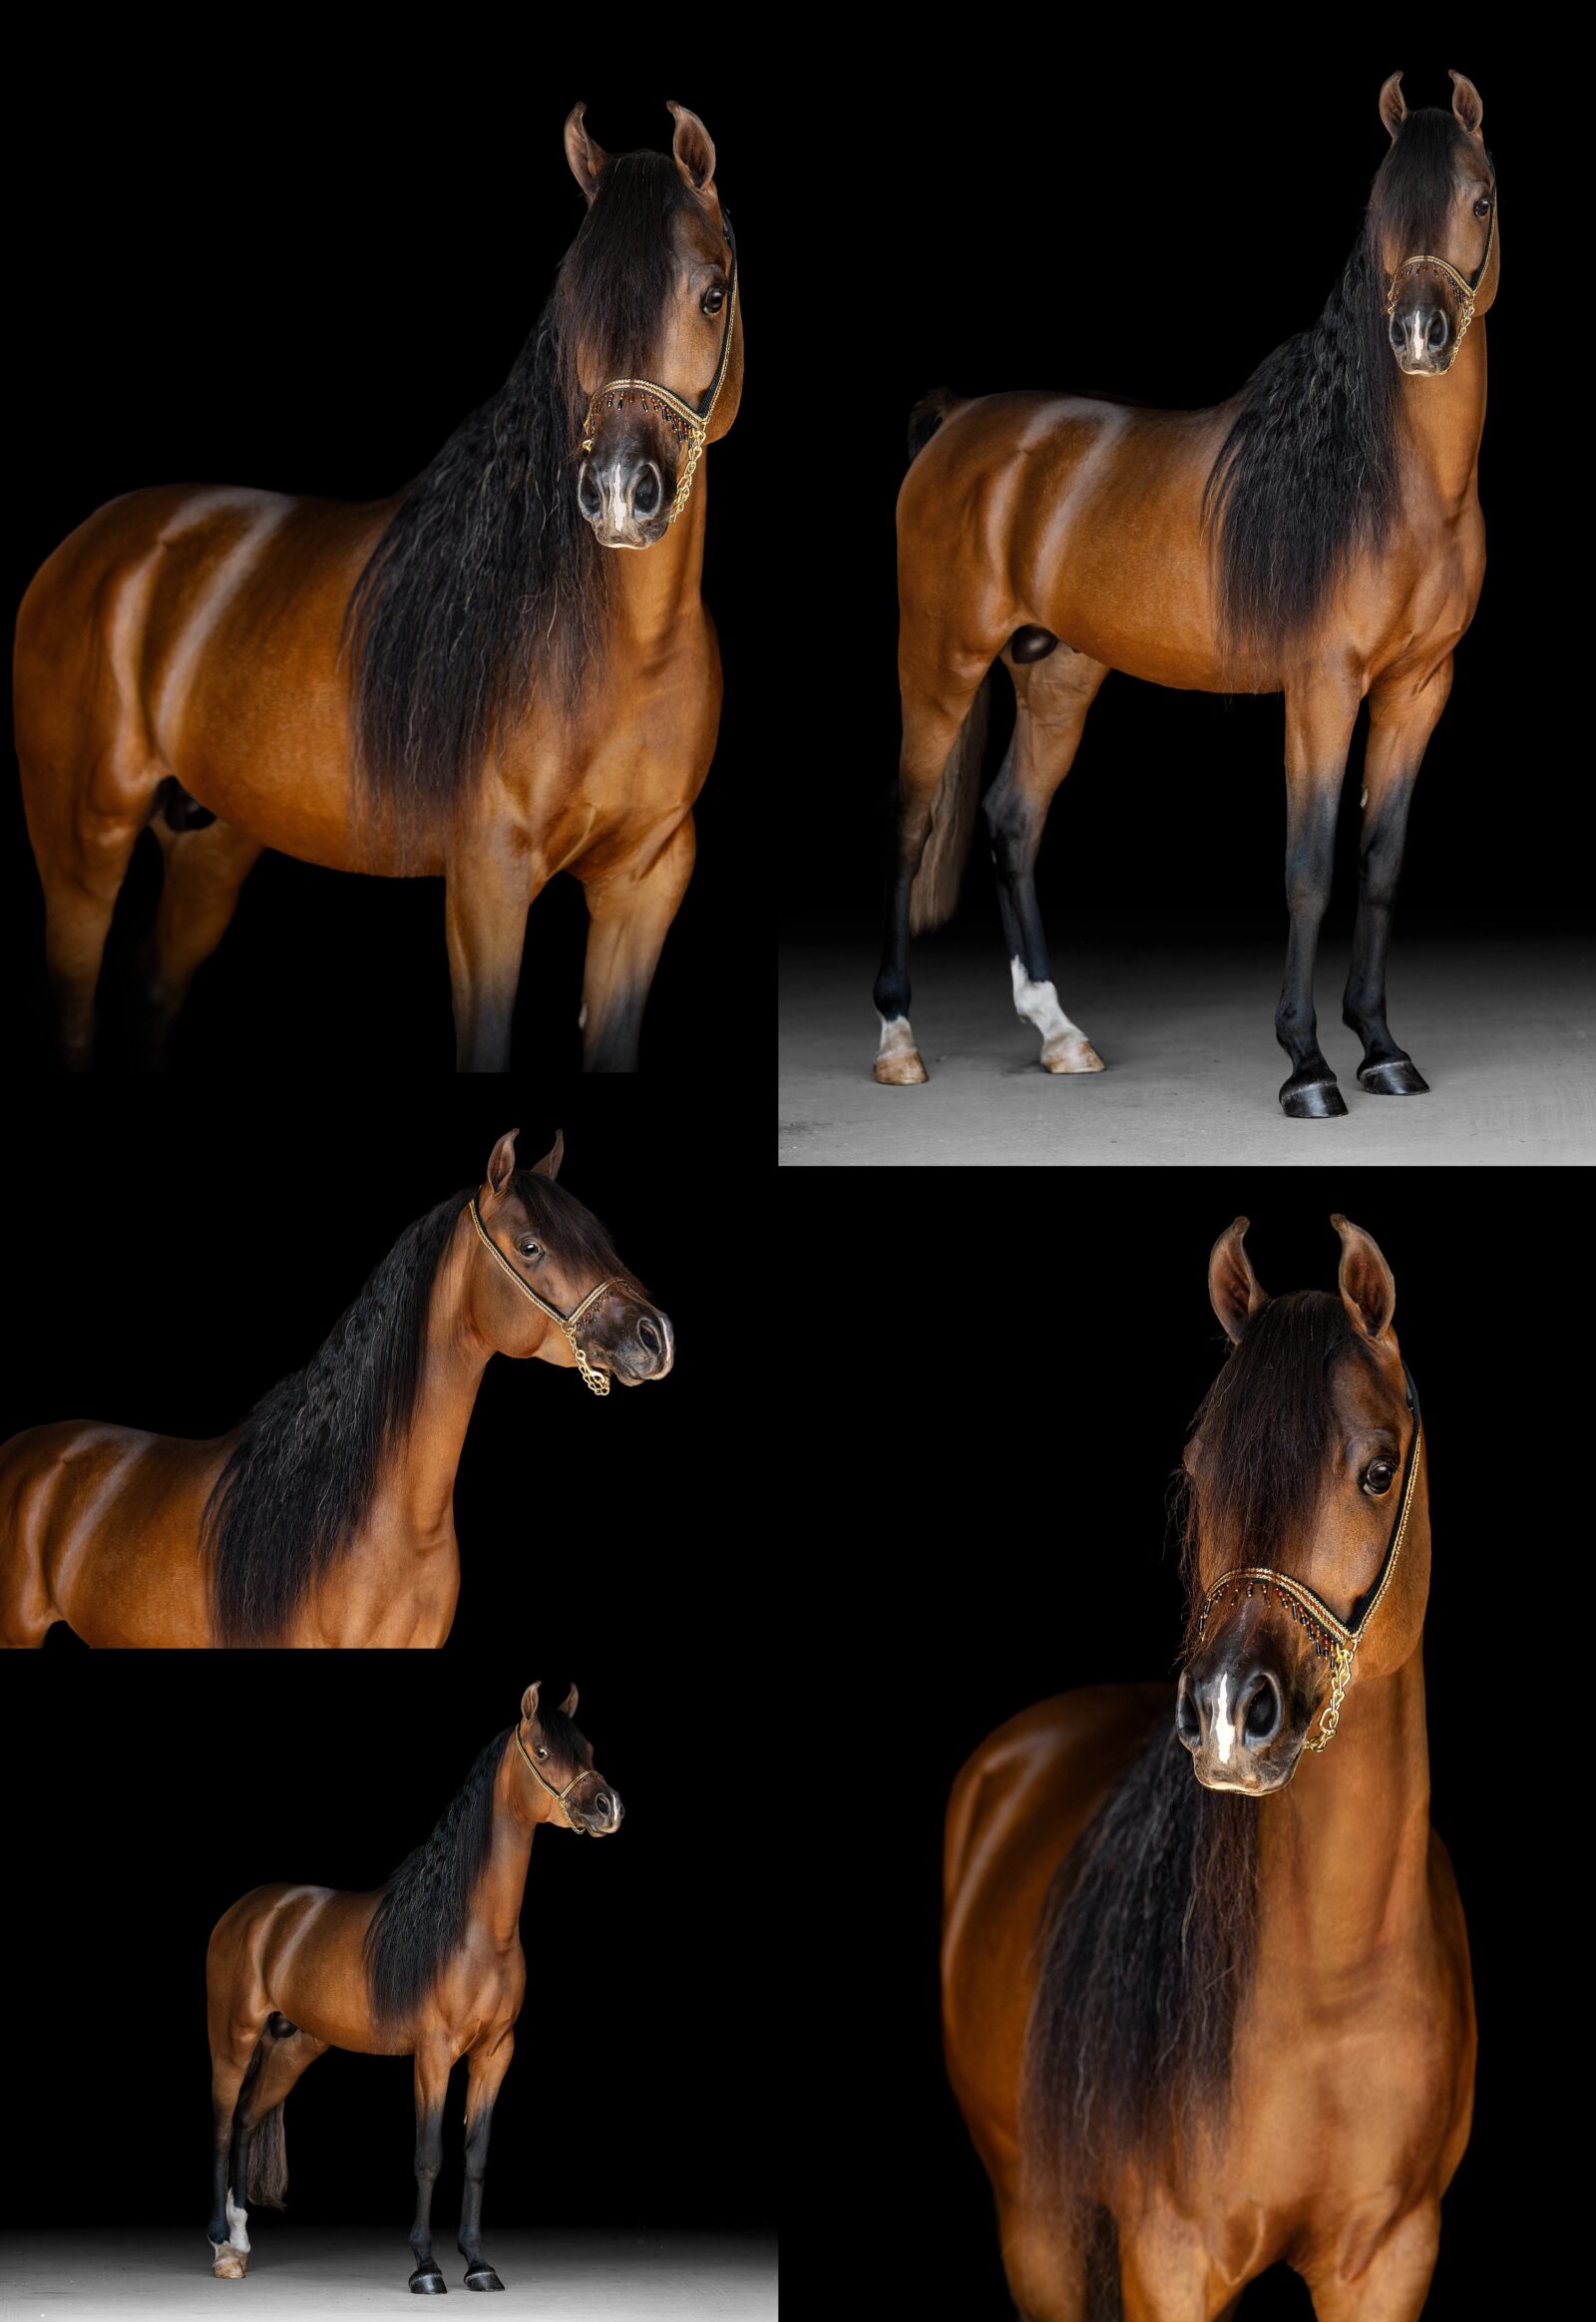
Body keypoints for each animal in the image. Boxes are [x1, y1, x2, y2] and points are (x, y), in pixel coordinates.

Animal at [14, 101, 740, 1073]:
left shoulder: (644, 886)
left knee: (156, 987)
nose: (623, 491)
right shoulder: (485, 884)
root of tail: (89, 545)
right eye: (574, 302)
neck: (626, 654)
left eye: (712, 294)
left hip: (213, 847)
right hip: (80, 841)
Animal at [205, 1679, 622, 2292]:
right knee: (221, 2123)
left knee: (246, 2119)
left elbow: (475, 2157)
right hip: (233, 2038)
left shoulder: (495, 2054)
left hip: (293, 2048)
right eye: (544, 1752)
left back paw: (238, 2242)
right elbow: (429, 2156)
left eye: (588, 1749)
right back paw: (219, 2246)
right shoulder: (434, 2053)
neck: (474, 1932)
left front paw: (478, 2264)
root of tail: (248, 1911)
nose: (606, 1806)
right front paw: (426, 2267)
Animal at [875, 71, 1497, 1120]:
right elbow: (1309, 869)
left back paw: (1061, 1034)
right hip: (941, 662)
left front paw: (1381, 1049)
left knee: (1011, 821)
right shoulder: (1322, 688)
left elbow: (1377, 866)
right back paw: (898, 1041)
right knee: (913, 825)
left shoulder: (1420, 689)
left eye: (1481, 201)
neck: (1388, 483)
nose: (1419, 334)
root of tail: (960, 423)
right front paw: (1307, 1067)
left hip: (1058, 679)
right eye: (1379, 212)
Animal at [942, 1216, 1474, 2320]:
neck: (1335, 1986)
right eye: (1196, 1471)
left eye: (1377, 1471)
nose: (1230, 1712)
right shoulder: (1170, 2257)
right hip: (1036, 2228)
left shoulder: (1392, 2260)